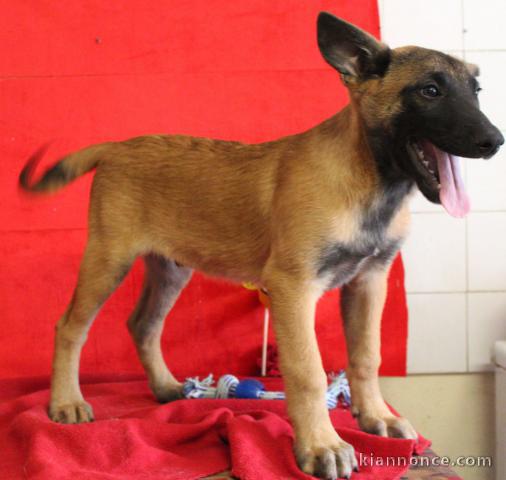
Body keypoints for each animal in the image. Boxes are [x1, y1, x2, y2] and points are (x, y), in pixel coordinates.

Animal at [18, 12, 502, 480]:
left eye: (476, 91)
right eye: (430, 91)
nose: (494, 142)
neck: (370, 181)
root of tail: (116, 147)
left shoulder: (369, 281)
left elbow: (367, 356)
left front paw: (375, 418)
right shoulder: (293, 288)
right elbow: (307, 371)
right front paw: (321, 447)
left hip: (171, 269)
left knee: (143, 325)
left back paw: (166, 387)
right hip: (108, 259)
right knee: (70, 327)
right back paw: (66, 402)